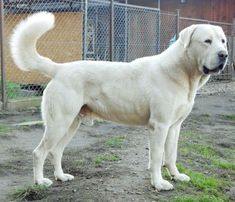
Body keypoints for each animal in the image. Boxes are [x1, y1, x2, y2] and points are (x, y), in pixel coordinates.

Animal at [9, 12, 228, 191]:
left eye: (223, 41)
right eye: (207, 41)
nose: (224, 55)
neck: (183, 72)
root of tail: (60, 68)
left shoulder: (174, 127)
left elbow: (171, 155)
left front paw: (176, 176)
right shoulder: (159, 126)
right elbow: (157, 157)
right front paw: (159, 184)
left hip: (71, 124)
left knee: (55, 151)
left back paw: (61, 176)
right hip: (59, 123)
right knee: (39, 152)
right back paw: (40, 182)